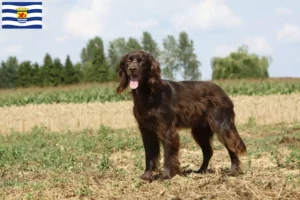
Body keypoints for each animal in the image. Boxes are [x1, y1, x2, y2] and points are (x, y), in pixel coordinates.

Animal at [116, 49, 247, 181]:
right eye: (128, 61)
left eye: (141, 61)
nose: (132, 69)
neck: (147, 93)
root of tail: (224, 93)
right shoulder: (146, 130)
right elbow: (149, 154)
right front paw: (147, 175)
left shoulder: (167, 128)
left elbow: (168, 153)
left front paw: (166, 175)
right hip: (200, 131)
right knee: (208, 151)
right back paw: (200, 171)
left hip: (222, 126)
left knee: (232, 146)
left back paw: (233, 171)